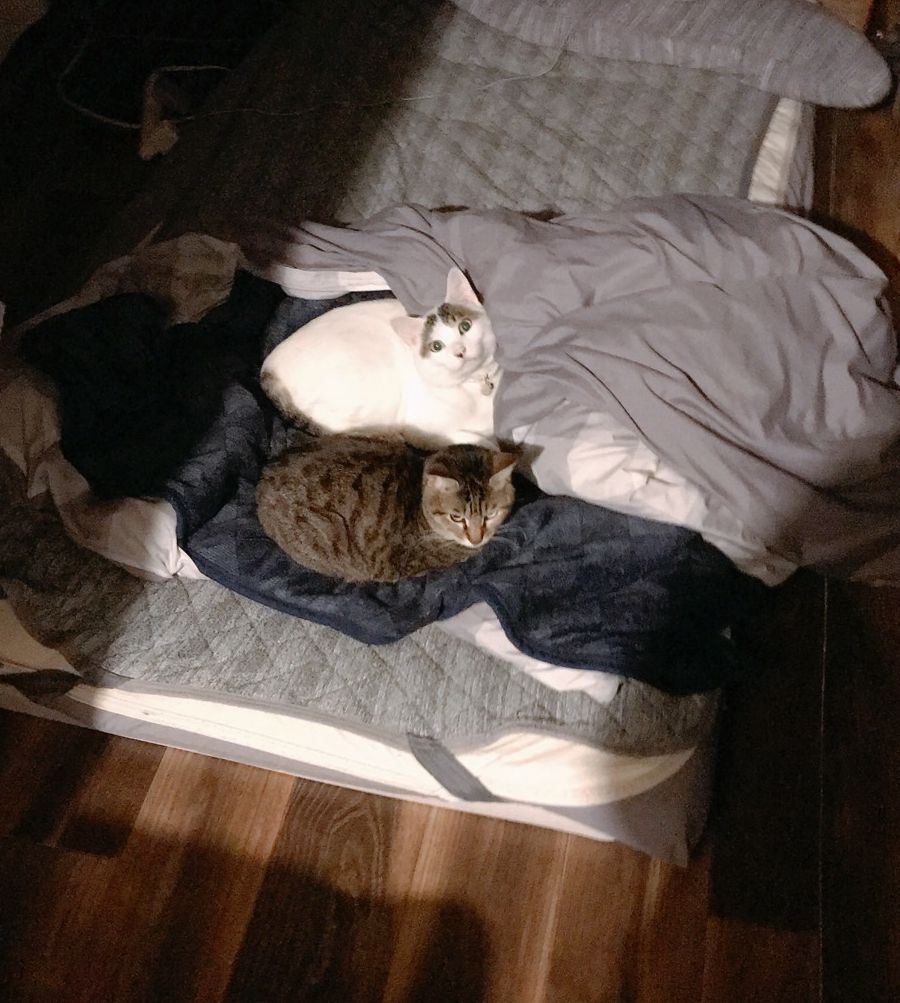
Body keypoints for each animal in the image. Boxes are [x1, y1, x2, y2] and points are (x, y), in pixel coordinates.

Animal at [259, 268, 501, 449]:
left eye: (465, 326)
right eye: (436, 346)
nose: (460, 350)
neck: (475, 385)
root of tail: (267, 368)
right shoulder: (424, 431)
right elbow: (478, 442)